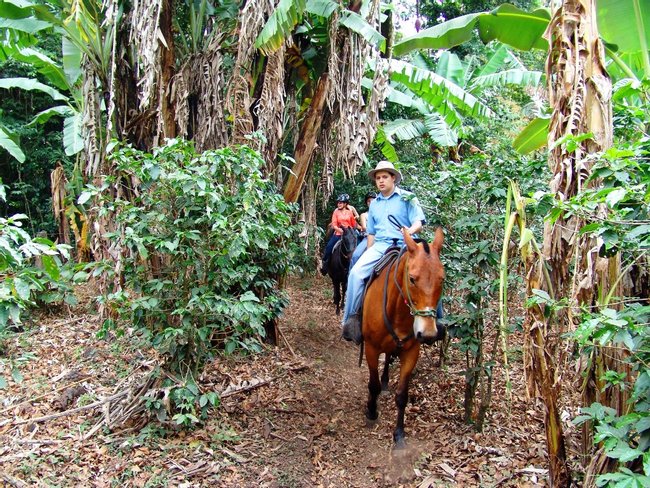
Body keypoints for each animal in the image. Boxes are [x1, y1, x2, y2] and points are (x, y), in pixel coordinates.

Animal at [360, 227, 446, 448]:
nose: (428, 333)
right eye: (412, 279)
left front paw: (399, 434)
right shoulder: (371, 348)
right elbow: (372, 385)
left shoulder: (411, 352)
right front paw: (371, 411)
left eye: (442, 279)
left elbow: (402, 396)